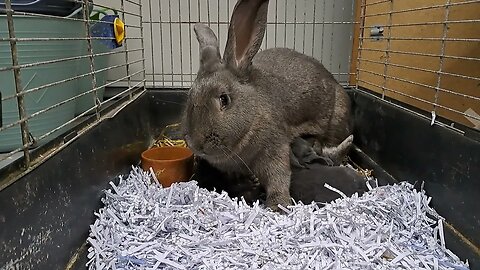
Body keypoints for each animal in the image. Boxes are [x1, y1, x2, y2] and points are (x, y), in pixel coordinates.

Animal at [182, 0, 350, 211]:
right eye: (190, 95)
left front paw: (278, 206)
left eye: (224, 99)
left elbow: (277, 177)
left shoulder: (274, 148)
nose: (196, 144)